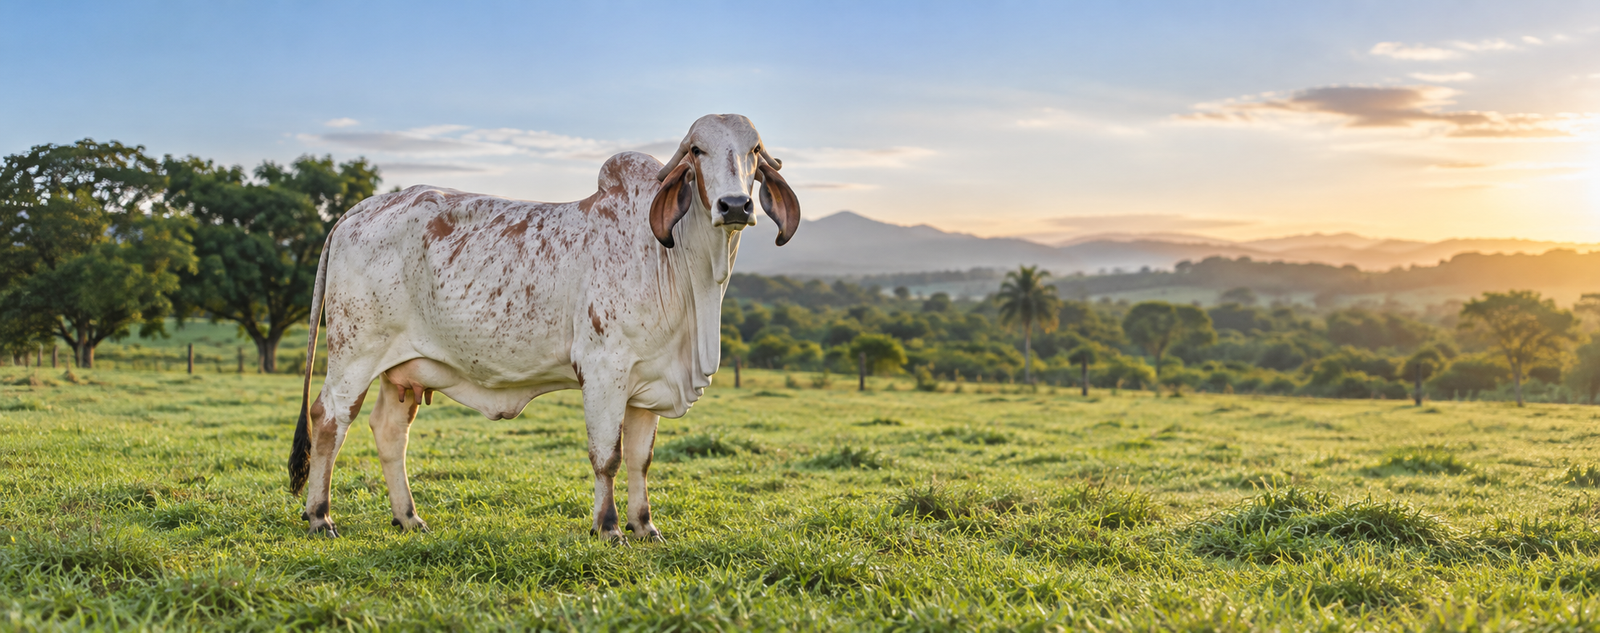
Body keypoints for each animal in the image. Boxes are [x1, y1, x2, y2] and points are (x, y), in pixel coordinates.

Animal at [287, 114, 800, 540]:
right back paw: (320, 517)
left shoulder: (649, 380)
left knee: (390, 431)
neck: (682, 270)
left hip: (404, 369)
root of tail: (360, 208)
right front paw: (608, 527)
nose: (734, 205)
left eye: (754, 150)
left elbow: (641, 460)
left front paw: (646, 527)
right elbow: (607, 457)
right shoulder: (603, 370)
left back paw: (409, 517)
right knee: (330, 420)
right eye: (696, 150)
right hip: (354, 352)